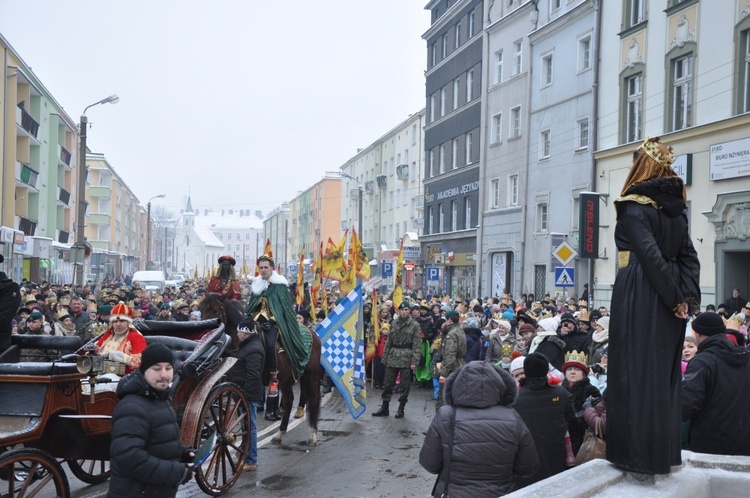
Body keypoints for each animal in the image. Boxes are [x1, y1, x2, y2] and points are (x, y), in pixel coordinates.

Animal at [198, 292, 322, 444]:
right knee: (288, 401)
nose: (203, 337)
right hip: (286, 379)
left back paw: (313, 434)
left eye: (215, 311)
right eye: (201, 310)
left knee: (313, 399)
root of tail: (312, 333)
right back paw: (280, 433)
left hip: (311, 374)